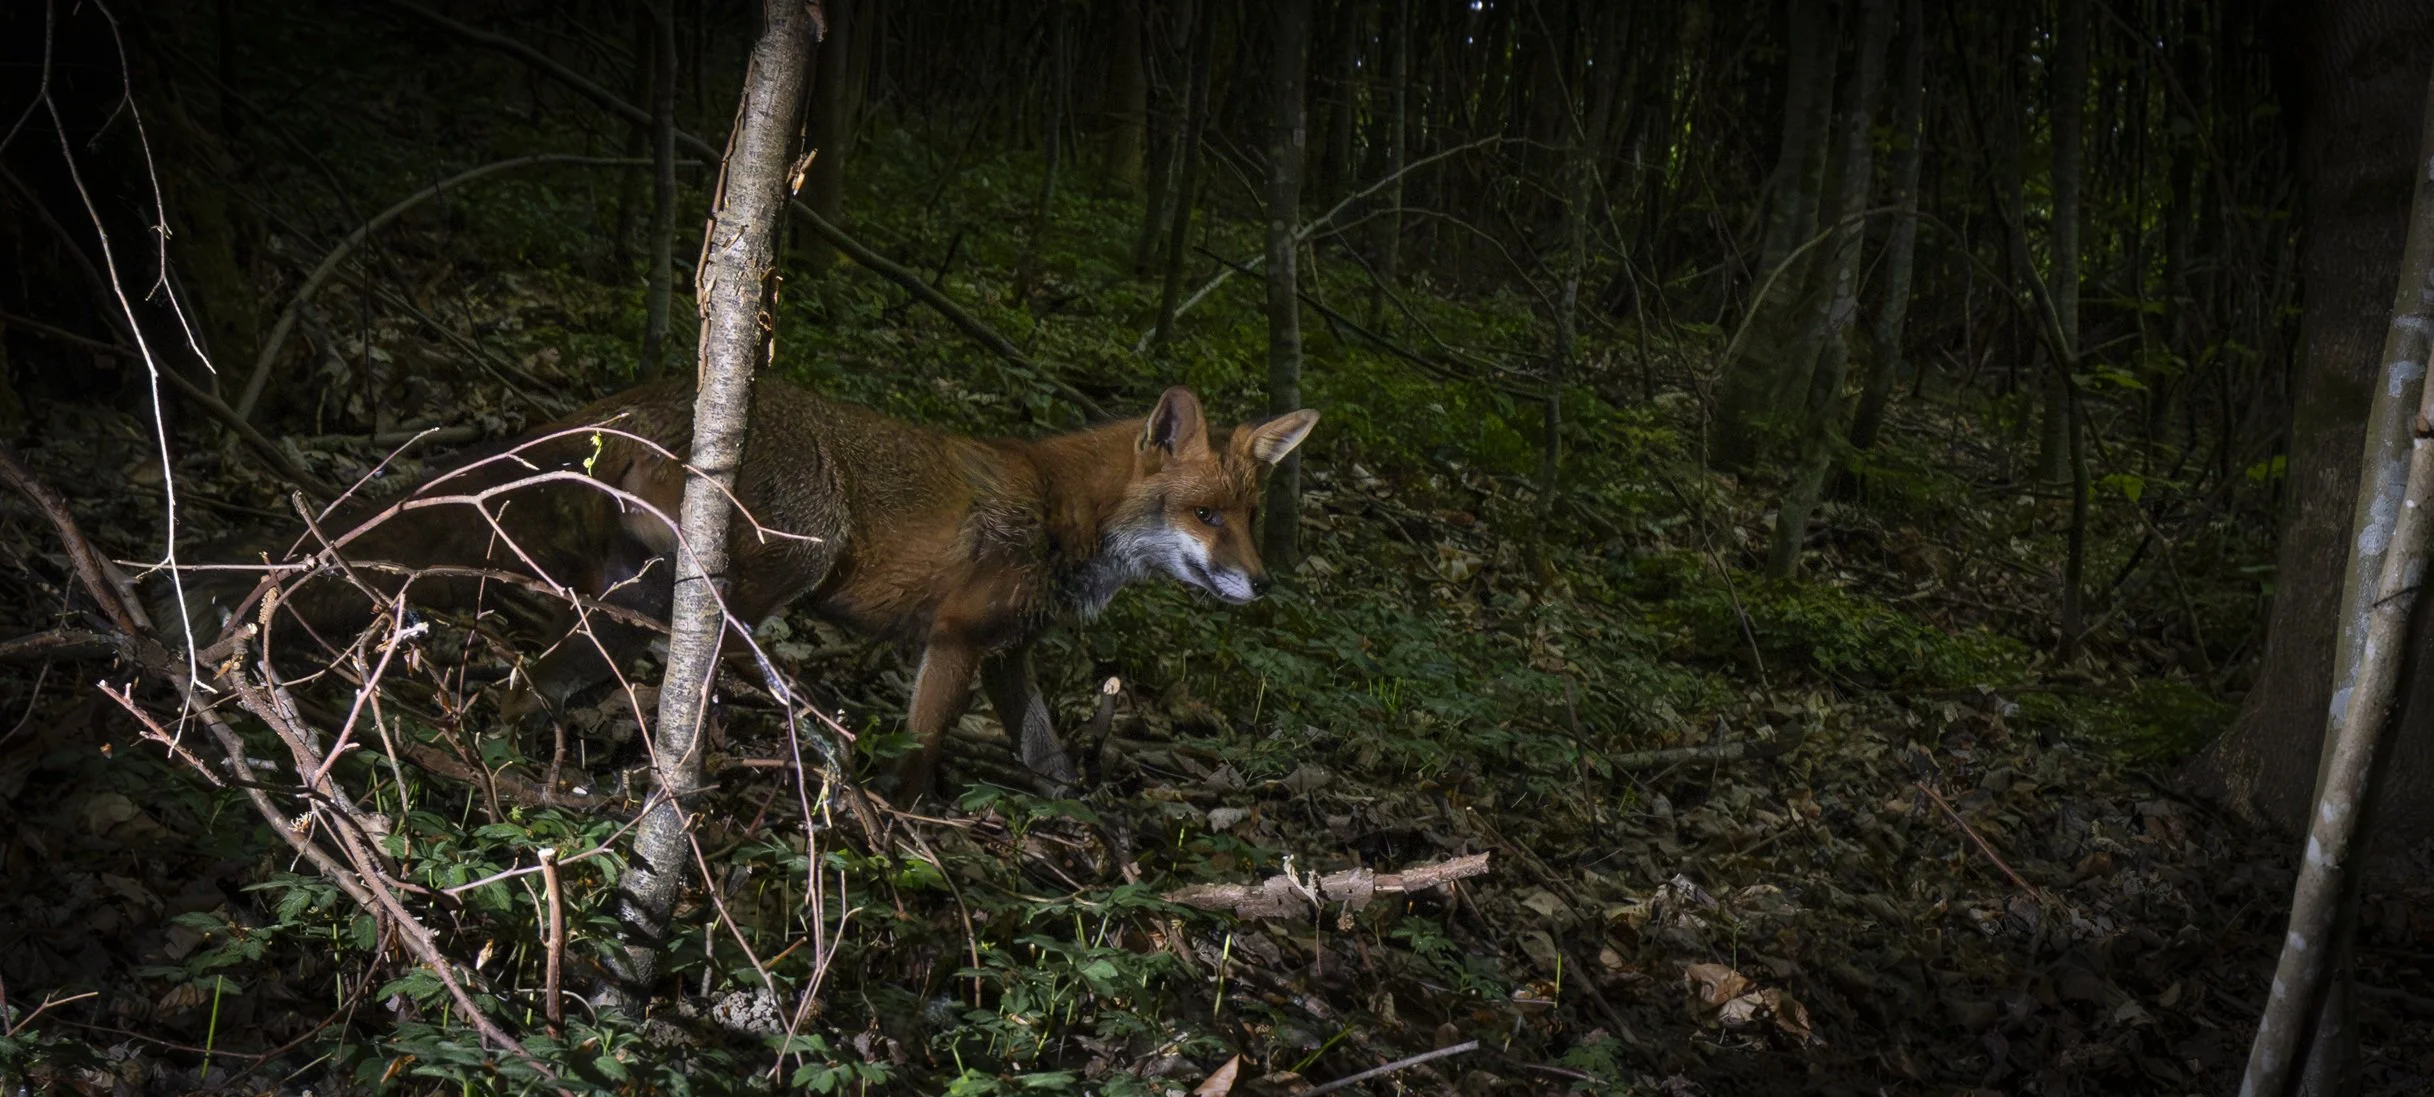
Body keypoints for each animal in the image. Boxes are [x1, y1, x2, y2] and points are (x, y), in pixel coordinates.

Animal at [214, 377, 1318, 799]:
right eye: (1207, 515)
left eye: (1251, 514)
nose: (1264, 583)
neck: (1062, 512)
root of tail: (651, 390)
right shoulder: (957, 637)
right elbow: (920, 751)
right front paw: (911, 837)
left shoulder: (1011, 656)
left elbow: (1049, 762)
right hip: (787, 562)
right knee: (685, 664)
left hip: (632, 603)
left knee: (537, 678)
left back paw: (530, 759)